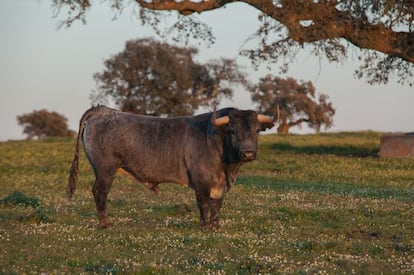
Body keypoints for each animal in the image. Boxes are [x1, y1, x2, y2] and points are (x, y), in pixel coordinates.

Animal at [67, 105, 278, 231]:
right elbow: (204, 205)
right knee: (100, 193)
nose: (248, 153)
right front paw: (204, 228)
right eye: (233, 130)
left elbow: (216, 206)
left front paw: (215, 228)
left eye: (257, 130)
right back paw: (105, 224)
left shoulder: (219, 186)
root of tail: (102, 111)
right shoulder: (201, 182)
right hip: (104, 170)